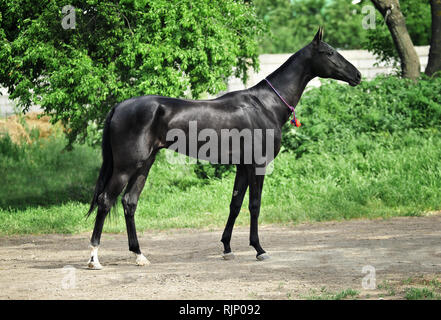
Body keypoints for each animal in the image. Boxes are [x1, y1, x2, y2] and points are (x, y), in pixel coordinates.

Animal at [86, 27, 360, 268]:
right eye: (329, 52)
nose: (357, 75)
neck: (266, 105)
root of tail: (119, 106)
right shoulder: (258, 165)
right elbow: (254, 205)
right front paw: (259, 249)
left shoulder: (242, 165)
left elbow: (235, 205)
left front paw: (227, 248)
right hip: (126, 166)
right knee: (105, 201)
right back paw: (94, 258)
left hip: (144, 164)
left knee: (129, 202)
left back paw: (139, 255)